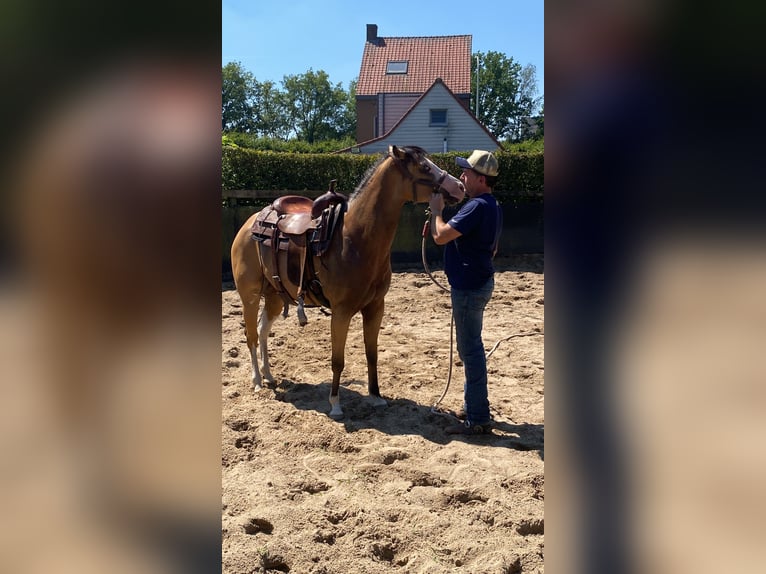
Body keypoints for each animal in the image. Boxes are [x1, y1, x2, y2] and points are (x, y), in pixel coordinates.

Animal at [231, 146, 464, 420]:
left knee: (263, 330)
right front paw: (335, 405)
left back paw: (268, 375)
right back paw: (257, 381)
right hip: (250, 296)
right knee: (251, 335)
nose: (460, 186)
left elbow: (372, 354)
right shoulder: (341, 312)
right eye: (424, 167)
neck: (354, 239)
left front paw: (376, 397)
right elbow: (337, 360)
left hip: (275, 296)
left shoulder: (375, 307)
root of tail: (251, 222)